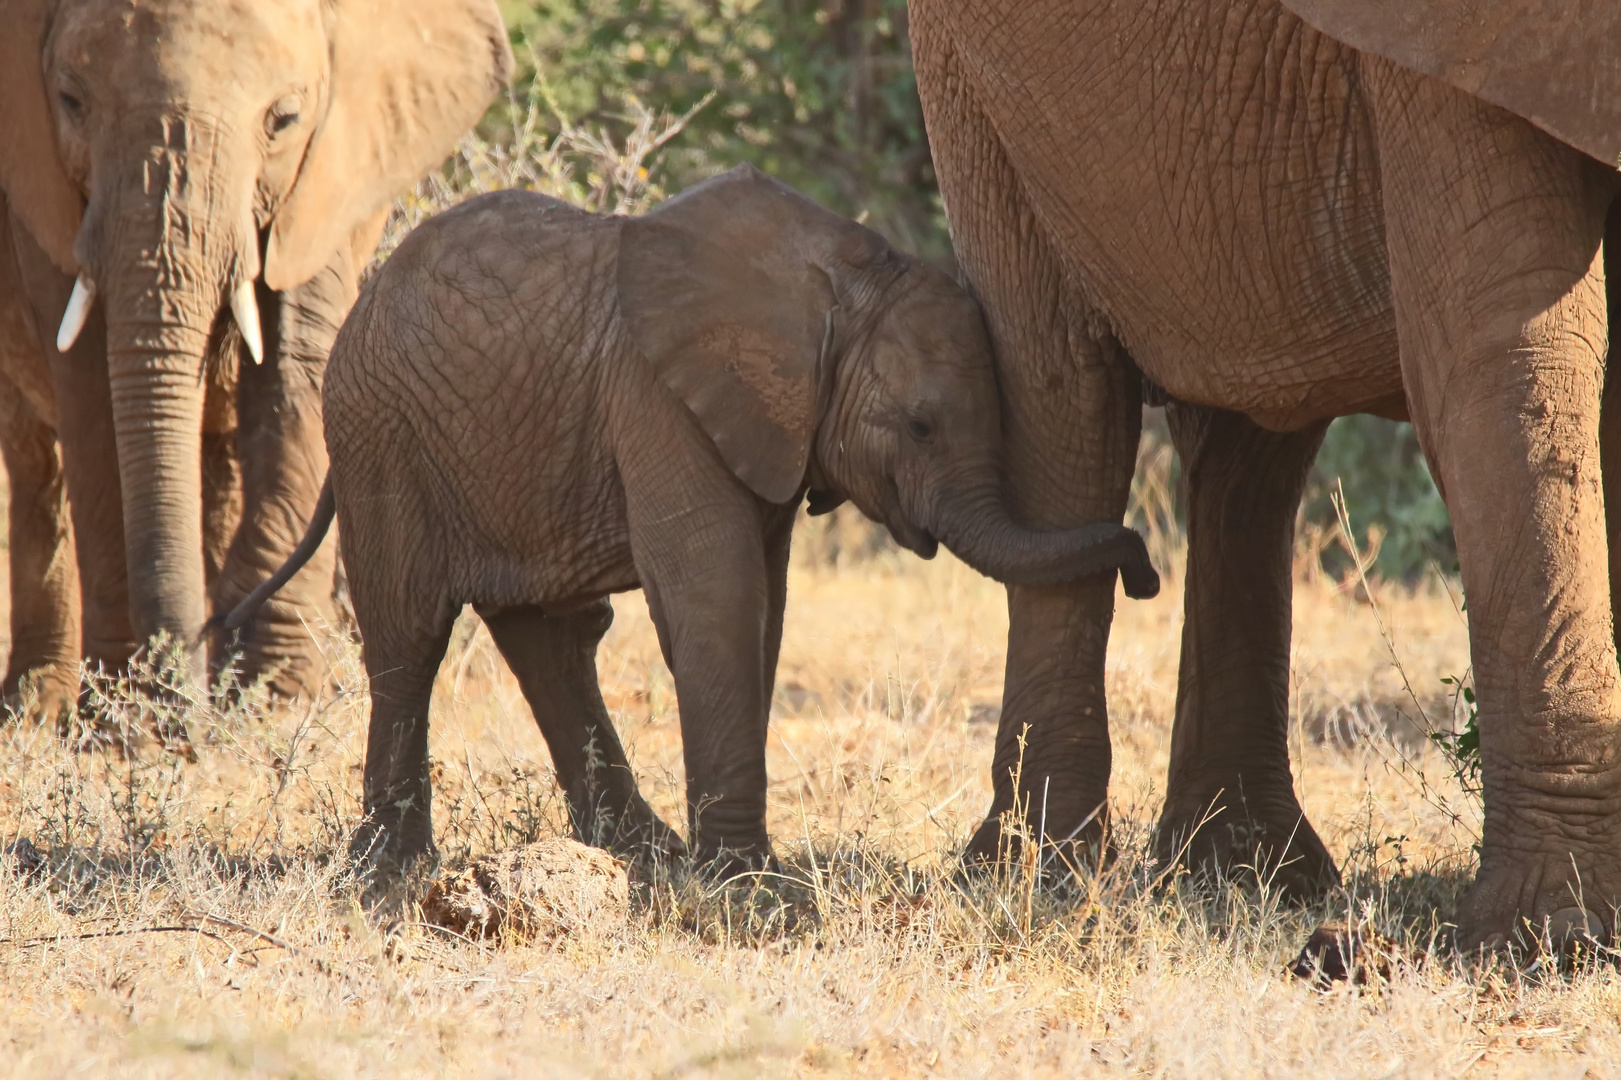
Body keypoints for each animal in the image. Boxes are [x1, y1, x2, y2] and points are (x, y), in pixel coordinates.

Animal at [0, 0, 512, 707]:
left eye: (284, 119)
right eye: (72, 101)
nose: (178, 690)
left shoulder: (331, 175)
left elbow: (299, 369)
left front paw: (265, 703)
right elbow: (89, 391)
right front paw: (120, 718)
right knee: (36, 463)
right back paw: (36, 708)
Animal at [225, 163, 1154, 869]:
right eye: (921, 426)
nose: (1143, 570)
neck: (842, 280)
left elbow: (761, 612)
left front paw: (723, 869)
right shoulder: (658, 395)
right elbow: (715, 595)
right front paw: (750, 889)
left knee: (544, 638)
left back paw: (640, 854)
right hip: (380, 434)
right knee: (410, 635)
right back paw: (391, 869)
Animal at [920, 0, 1621, 940]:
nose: (1143, 568)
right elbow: (1511, 364)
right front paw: (1554, 934)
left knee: (1249, 451)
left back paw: (1245, 873)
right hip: (974, 85)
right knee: (1064, 396)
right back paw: (1035, 875)